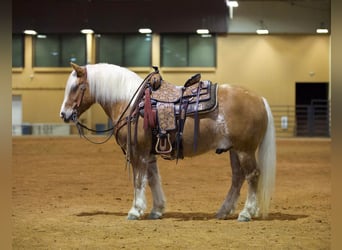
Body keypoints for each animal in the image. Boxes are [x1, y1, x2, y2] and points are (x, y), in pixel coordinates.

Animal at [60, 62, 276, 221]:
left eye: (77, 87)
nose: (64, 114)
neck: (131, 102)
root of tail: (260, 99)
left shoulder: (138, 152)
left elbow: (139, 180)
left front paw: (135, 210)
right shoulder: (149, 153)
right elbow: (153, 179)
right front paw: (157, 210)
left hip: (244, 150)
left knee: (253, 175)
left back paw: (246, 212)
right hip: (233, 150)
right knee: (238, 177)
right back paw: (223, 211)